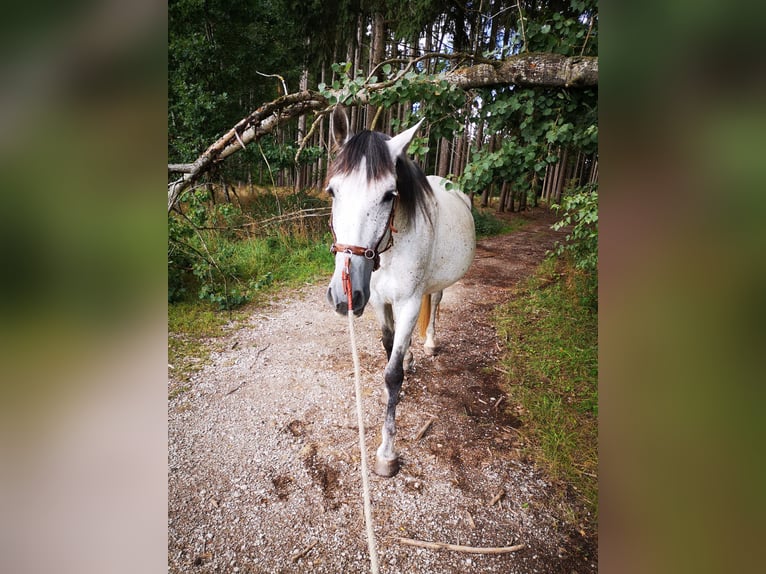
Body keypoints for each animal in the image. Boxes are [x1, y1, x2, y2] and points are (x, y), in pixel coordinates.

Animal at [325, 106, 476, 477]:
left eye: (389, 195)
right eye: (333, 191)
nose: (344, 294)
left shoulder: (408, 302)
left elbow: (392, 375)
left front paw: (386, 453)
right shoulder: (379, 301)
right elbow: (387, 346)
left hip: (434, 287)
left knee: (435, 302)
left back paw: (430, 343)